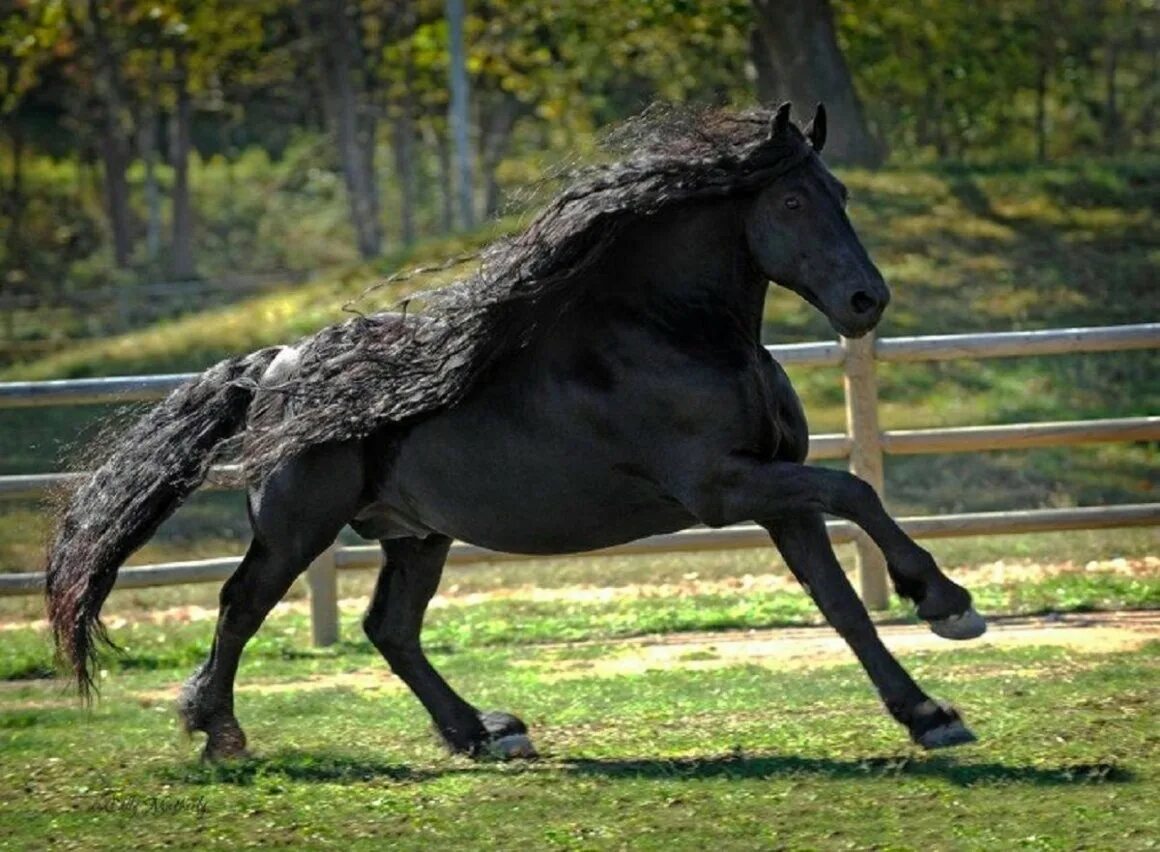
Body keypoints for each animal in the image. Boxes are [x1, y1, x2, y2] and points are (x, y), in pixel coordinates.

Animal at [49, 103, 983, 766]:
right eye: (791, 199)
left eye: (842, 196)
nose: (866, 302)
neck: (674, 333)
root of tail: (274, 364)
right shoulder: (725, 487)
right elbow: (857, 490)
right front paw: (946, 603)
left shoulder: (775, 491)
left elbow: (840, 602)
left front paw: (929, 714)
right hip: (297, 528)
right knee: (242, 604)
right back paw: (220, 734)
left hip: (414, 535)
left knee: (389, 629)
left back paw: (483, 733)